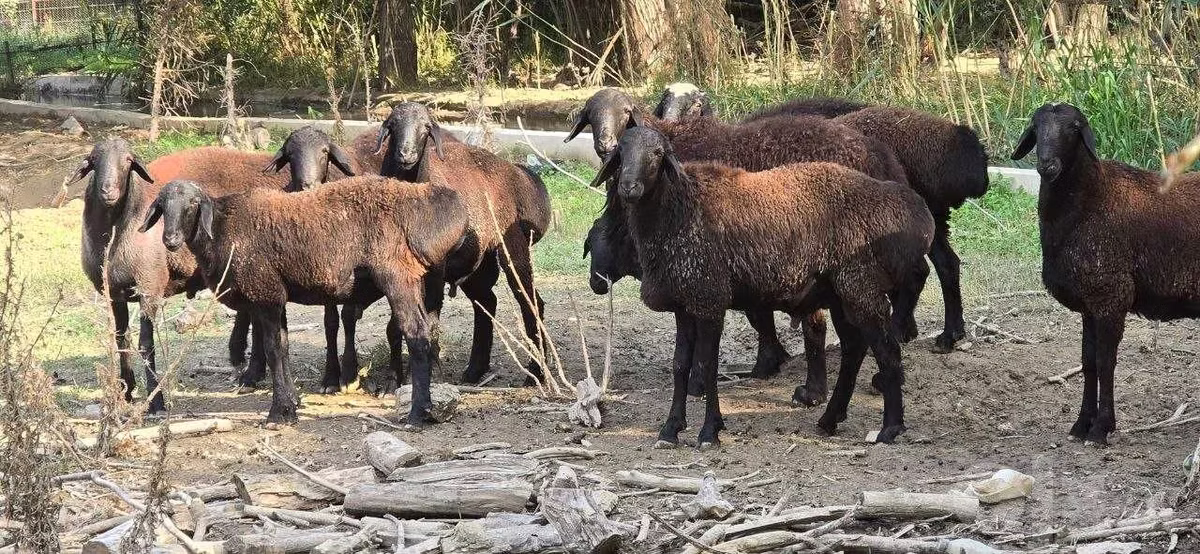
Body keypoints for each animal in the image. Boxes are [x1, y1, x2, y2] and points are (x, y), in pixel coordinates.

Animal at [140, 178, 469, 423]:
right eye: (162, 206)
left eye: (193, 204)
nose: (170, 240)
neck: (222, 228)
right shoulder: (276, 296)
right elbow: (283, 348)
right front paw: (291, 405)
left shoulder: (266, 294)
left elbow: (272, 350)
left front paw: (278, 413)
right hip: (418, 281)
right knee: (426, 331)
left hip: (396, 276)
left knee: (416, 335)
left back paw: (417, 414)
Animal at [376, 102, 552, 386]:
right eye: (392, 125)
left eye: (426, 128)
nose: (407, 154)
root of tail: (523, 175)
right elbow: (396, 324)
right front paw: (394, 379)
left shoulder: (435, 270)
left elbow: (429, 319)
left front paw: (425, 375)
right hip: (477, 260)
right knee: (487, 302)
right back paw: (475, 369)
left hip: (512, 246)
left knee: (531, 302)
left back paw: (536, 372)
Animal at [594, 127, 933, 446]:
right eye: (621, 152)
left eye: (657, 153)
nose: (629, 187)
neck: (679, 210)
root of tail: (919, 214)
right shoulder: (684, 303)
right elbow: (680, 365)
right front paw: (670, 429)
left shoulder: (710, 298)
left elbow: (707, 365)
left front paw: (709, 431)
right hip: (842, 293)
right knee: (854, 348)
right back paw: (830, 418)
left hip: (862, 286)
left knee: (887, 351)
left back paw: (890, 428)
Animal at [1009, 102, 1200, 444]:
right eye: (1036, 126)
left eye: (1074, 128)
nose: (1047, 165)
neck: (1091, 197)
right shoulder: (1089, 304)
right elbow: (1088, 363)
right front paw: (1081, 424)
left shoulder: (1111, 295)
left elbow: (1106, 362)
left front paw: (1101, 428)